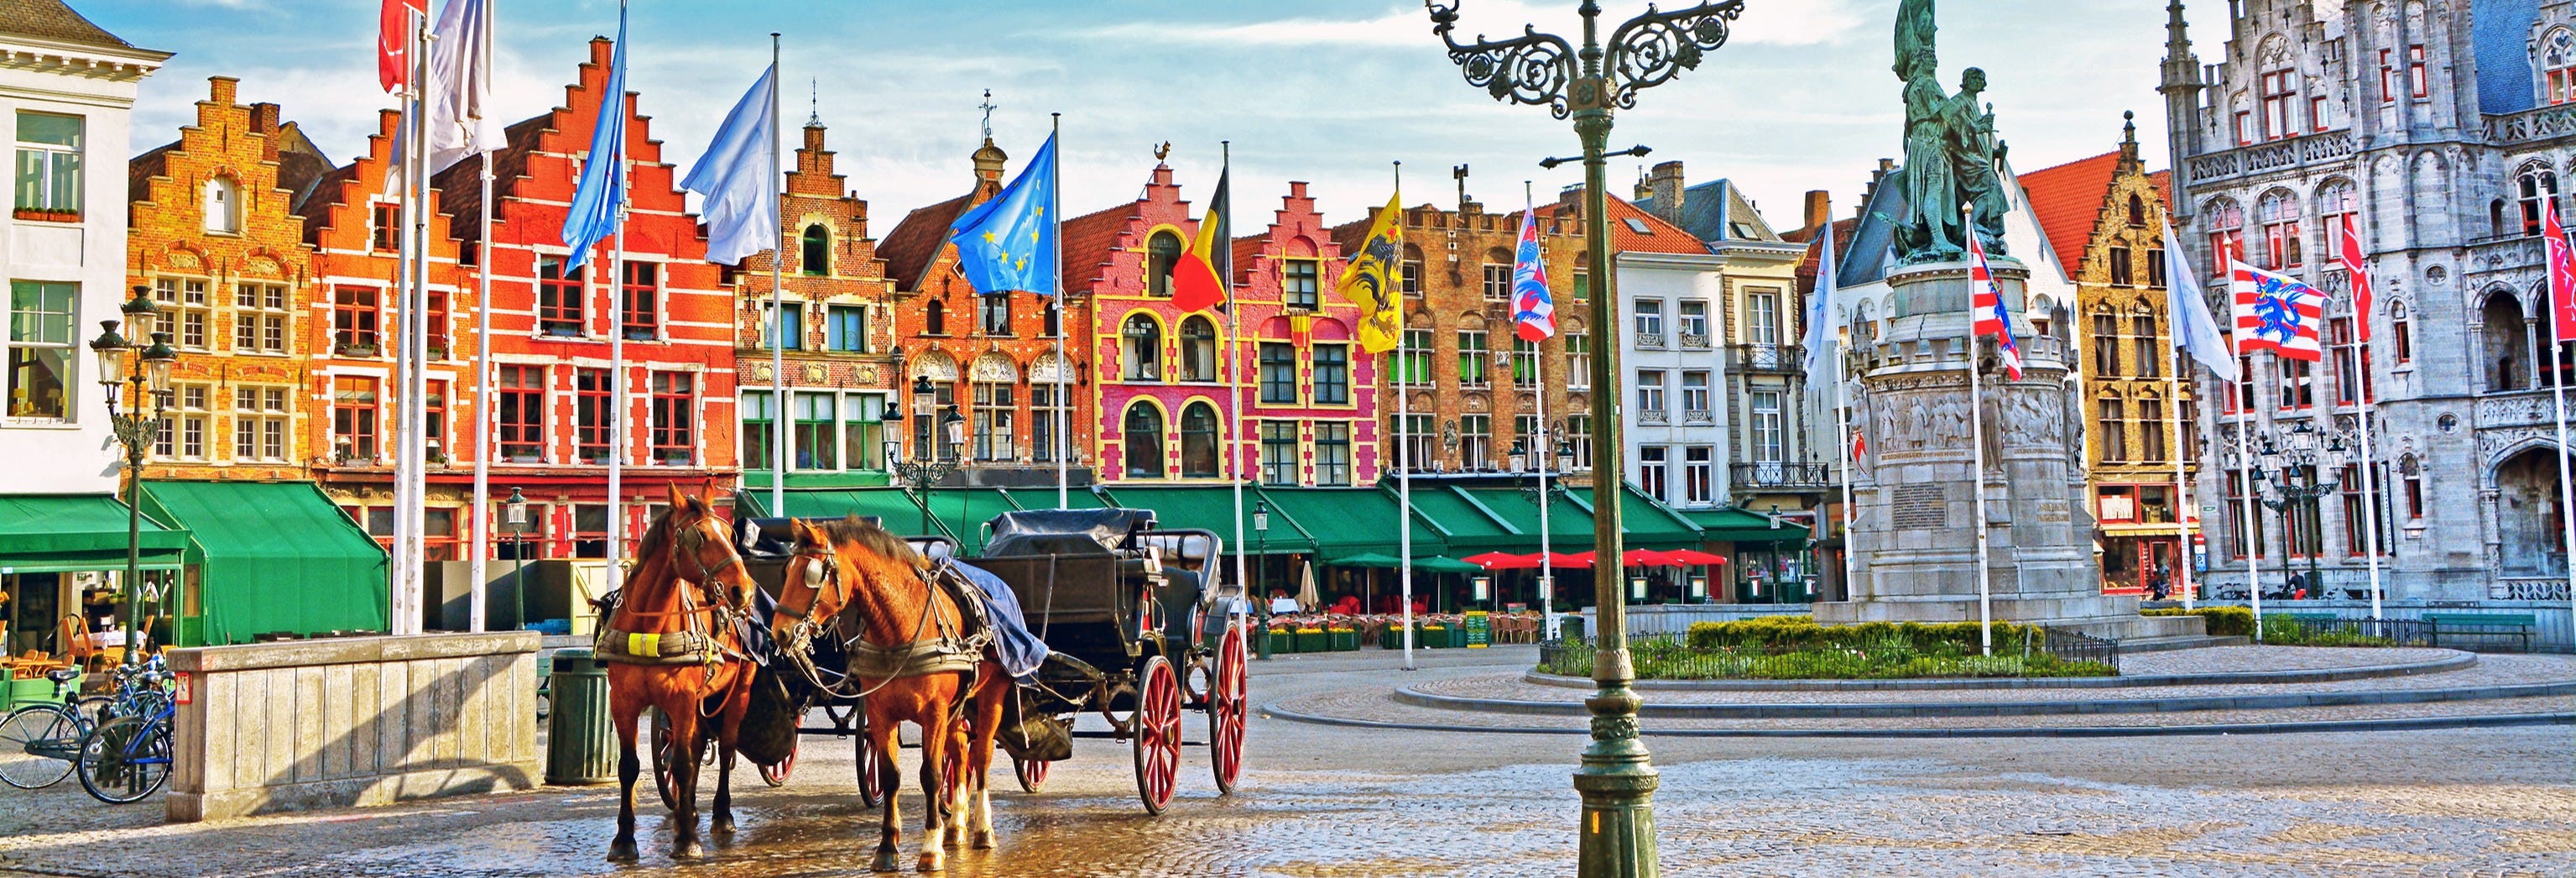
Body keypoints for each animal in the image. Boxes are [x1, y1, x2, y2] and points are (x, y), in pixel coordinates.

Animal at [605, 481, 757, 860]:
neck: (650, 626)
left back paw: (720, 814)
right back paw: (688, 810)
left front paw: (687, 840)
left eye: (731, 535)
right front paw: (624, 838)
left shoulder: (682, 699)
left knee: (725, 748)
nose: (744, 590)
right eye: (700, 537)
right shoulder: (623, 702)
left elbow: (684, 764)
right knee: (694, 746)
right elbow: (630, 767)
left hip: (739, 693)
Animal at [762, 517, 1004, 870]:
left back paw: (983, 830)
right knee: (960, 751)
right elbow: (891, 775)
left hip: (992, 697)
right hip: (958, 707)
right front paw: (888, 846)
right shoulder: (880, 712)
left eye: (812, 574)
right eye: (787, 570)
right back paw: (957, 825)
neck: (900, 627)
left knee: (981, 755)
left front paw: (930, 848)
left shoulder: (934, 712)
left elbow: (931, 775)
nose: (779, 632)